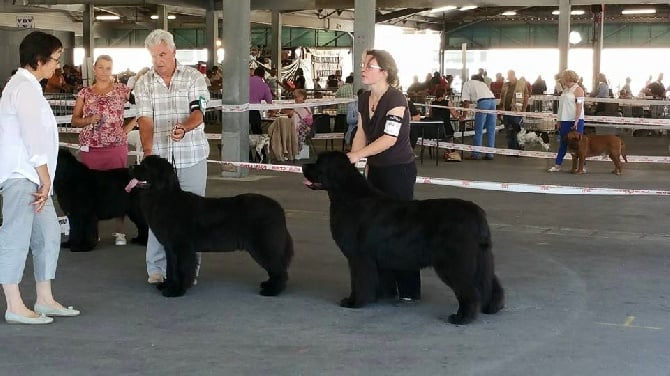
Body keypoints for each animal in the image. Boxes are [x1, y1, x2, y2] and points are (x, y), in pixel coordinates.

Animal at [126, 155, 294, 296]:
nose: (130, 166)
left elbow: (181, 268)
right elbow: (171, 268)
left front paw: (176, 291)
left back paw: (272, 290)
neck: (163, 197)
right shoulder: (170, 247)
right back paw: (268, 285)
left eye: (146, 166)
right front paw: (168, 285)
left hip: (262, 244)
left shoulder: (182, 247)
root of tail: (278, 208)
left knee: (278, 268)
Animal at [304, 151, 504, 324]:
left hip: (455, 262)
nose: (305, 165)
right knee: (489, 282)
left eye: (319, 163)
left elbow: (359, 281)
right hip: (480, 258)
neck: (348, 196)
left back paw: (462, 317)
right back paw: (492, 307)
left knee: (469, 290)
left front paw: (354, 302)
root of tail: (477, 213)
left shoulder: (359, 257)